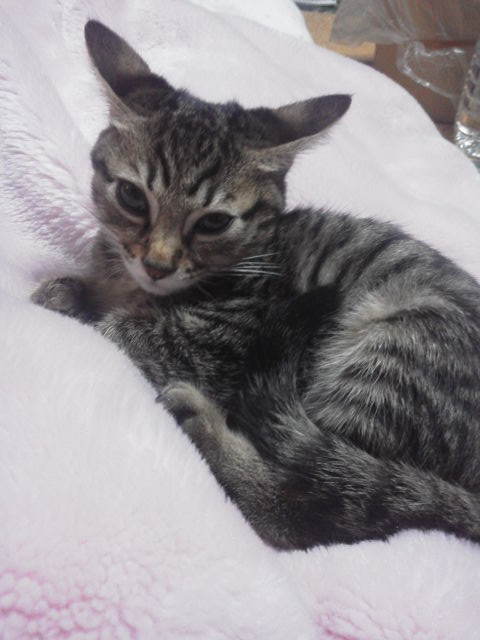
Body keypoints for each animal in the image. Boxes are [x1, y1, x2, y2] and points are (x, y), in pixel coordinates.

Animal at [32, 20, 480, 550]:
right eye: (131, 196)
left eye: (213, 222)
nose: (158, 264)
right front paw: (71, 288)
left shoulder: (220, 343)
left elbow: (121, 332)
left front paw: (72, 304)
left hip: (395, 350)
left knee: (312, 510)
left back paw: (207, 429)